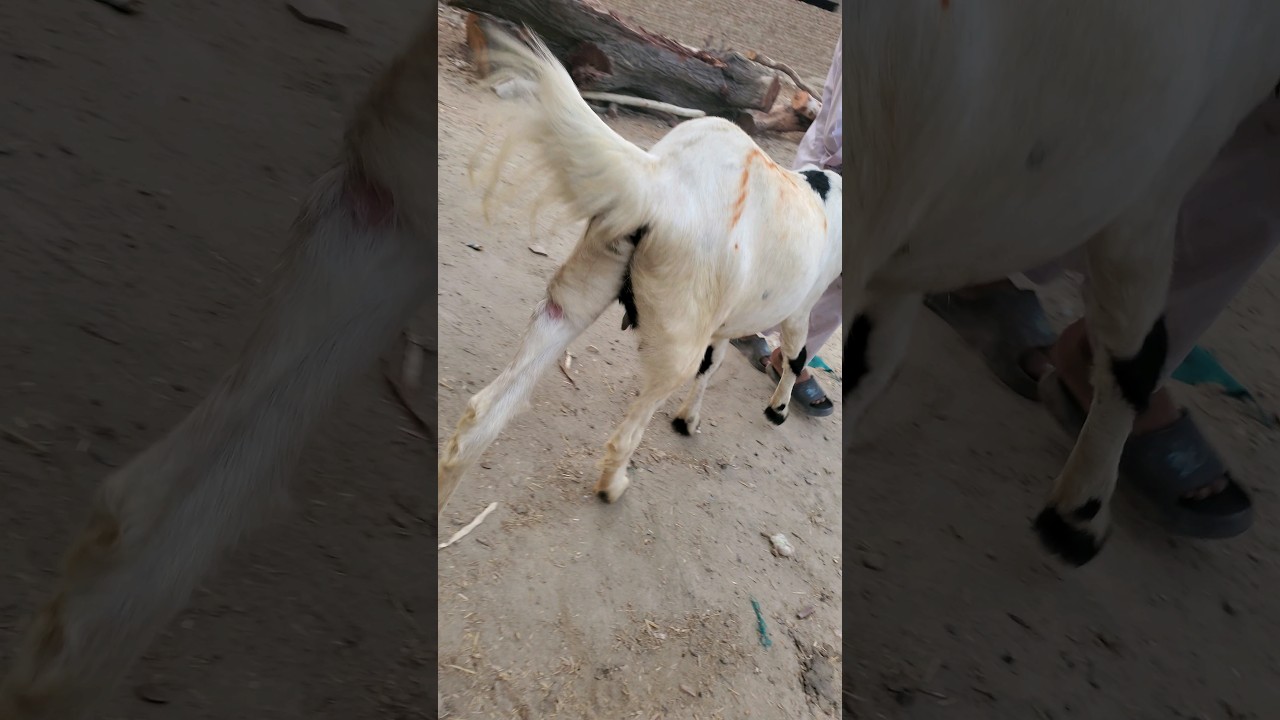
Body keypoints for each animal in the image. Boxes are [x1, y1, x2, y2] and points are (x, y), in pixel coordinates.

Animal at [436, 27, 843, 512]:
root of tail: (660, 182)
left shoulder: (723, 317)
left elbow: (715, 361)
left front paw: (688, 419)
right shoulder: (799, 311)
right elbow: (794, 356)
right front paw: (776, 409)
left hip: (578, 294)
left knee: (483, 415)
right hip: (675, 338)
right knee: (627, 433)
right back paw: (612, 486)